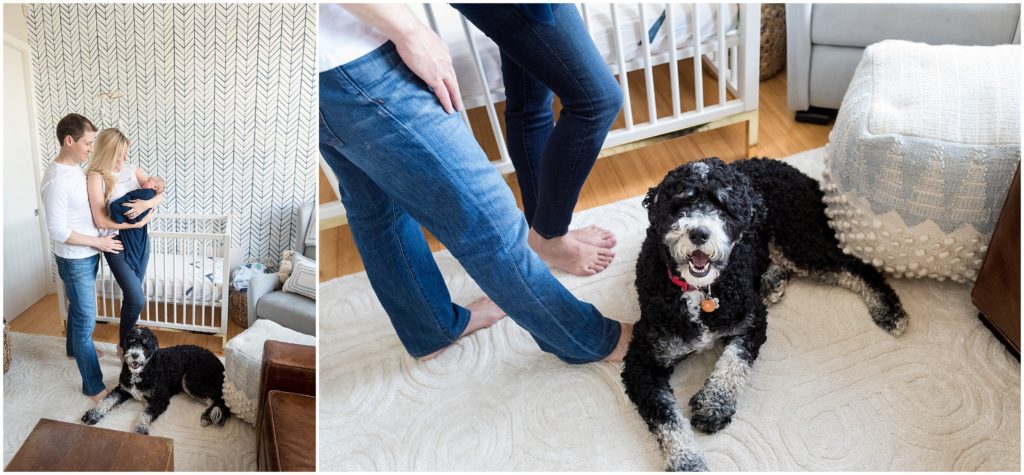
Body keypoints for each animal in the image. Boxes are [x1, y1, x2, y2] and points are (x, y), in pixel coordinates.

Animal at [81, 327, 230, 434]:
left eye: (145, 344)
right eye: (130, 341)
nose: (135, 355)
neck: (143, 371)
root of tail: (220, 363)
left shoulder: (161, 399)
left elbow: (145, 414)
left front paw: (140, 429)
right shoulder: (123, 389)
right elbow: (107, 400)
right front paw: (93, 414)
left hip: (192, 380)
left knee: (218, 398)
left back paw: (206, 416)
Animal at [622, 156, 905, 470]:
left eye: (724, 206)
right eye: (681, 202)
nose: (699, 232)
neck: (701, 292)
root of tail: (796, 172)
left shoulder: (752, 321)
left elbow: (733, 362)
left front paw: (714, 405)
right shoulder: (642, 361)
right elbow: (667, 420)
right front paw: (687, 461)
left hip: (797, 237)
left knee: (854, 266)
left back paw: (888, 309)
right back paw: (772, 282)